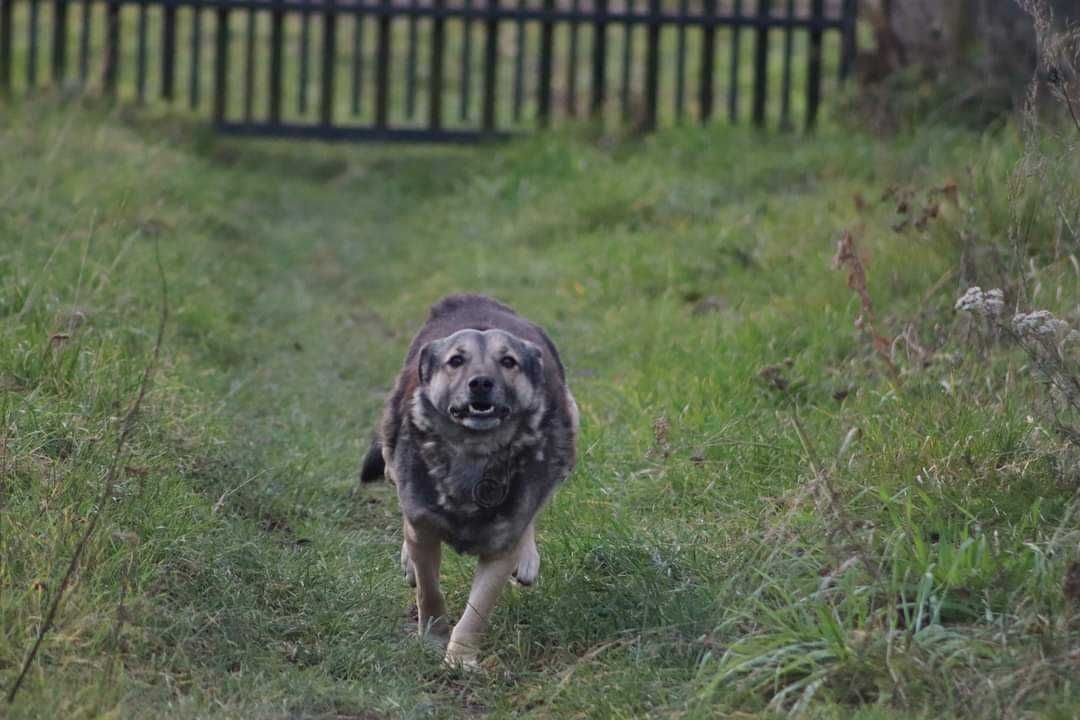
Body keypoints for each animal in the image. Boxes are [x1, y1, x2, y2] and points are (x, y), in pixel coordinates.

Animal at [360, 293, 583, 669]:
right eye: (456, 361)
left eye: (508, 362)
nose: (480, 382)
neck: (473, 451)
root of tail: (470, 298)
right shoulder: (424, 527)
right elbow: (429, 590)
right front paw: (433, 639)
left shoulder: (500, 547)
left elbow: (477, 612)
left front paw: (460, 660)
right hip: (391, 453)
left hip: (567, 438)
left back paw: (528, 558)